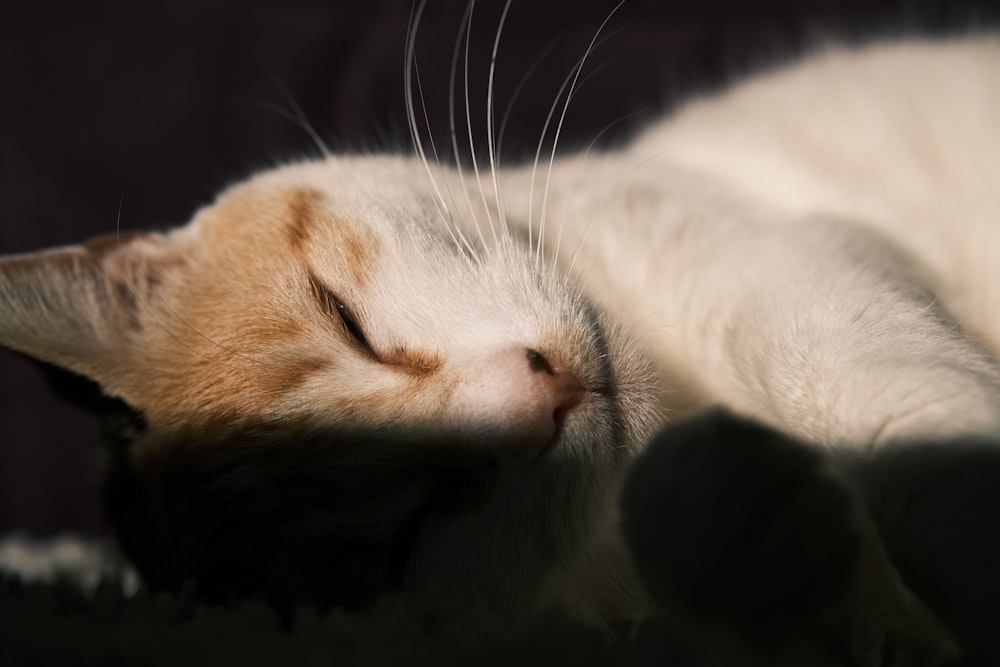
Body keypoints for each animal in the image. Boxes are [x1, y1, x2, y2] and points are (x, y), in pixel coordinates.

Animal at [1, 18, 1000, 664]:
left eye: (347, 320)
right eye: (403, 541)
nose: (537, 397)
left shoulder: (777, 267)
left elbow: (905, 435)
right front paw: (752, 525)